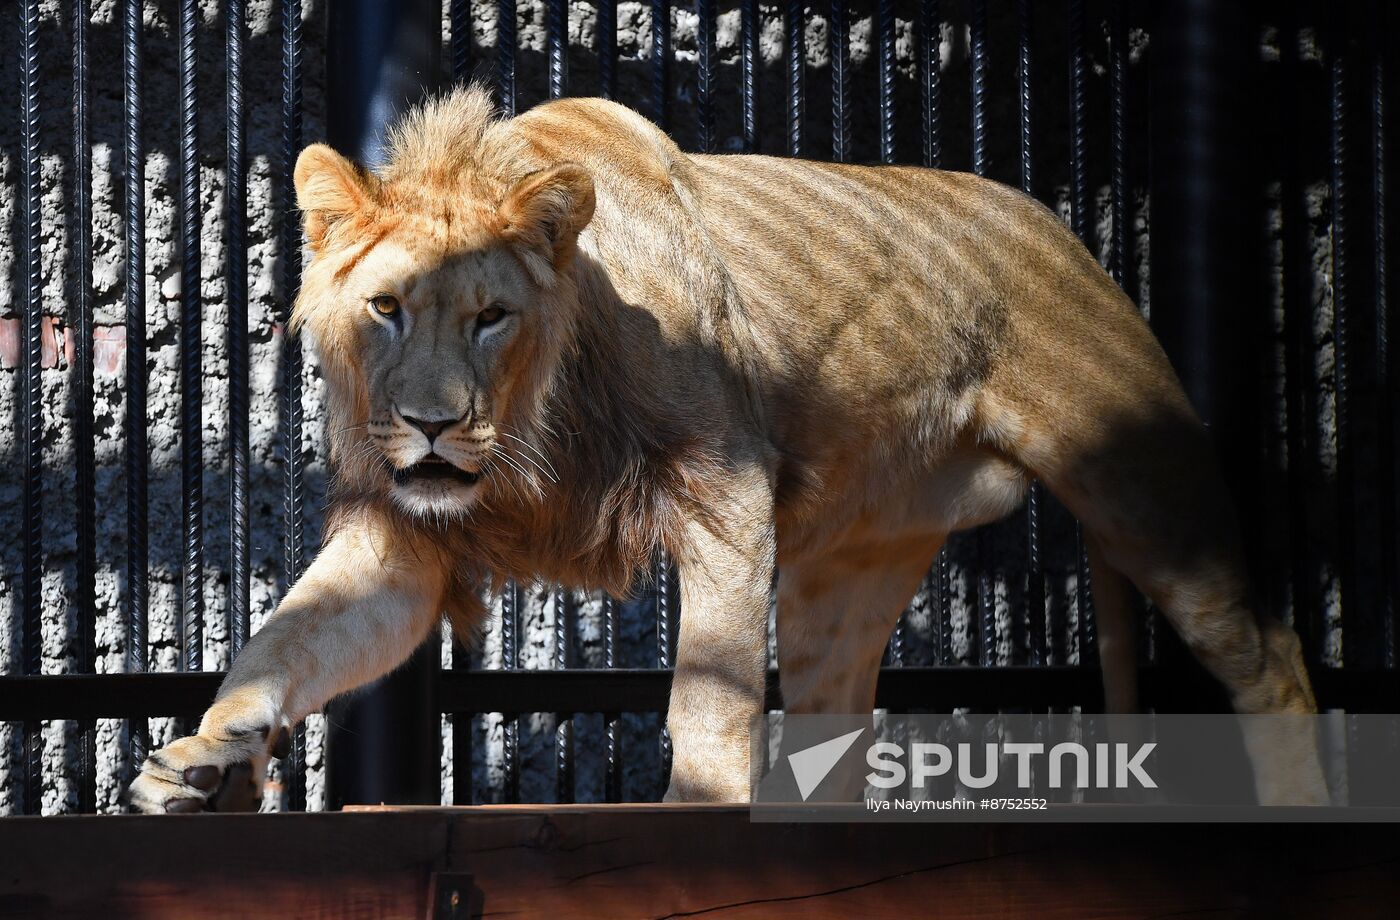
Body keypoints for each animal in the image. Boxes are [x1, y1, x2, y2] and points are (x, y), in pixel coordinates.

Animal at [128, 85, 1325, 813]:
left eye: (488, 317)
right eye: (386, 308)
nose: (429, 422)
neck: (529, 432)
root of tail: (1061, 225)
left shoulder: (727, 491)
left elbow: (708, 694)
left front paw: (690, 813)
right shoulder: (400, 538)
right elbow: (283, 639)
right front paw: (202, 756)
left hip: (1138, 478)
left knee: (1268, 655)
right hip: (847, 570)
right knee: (841, 719)